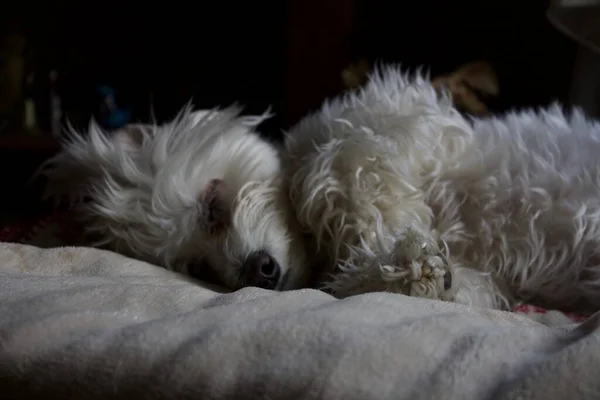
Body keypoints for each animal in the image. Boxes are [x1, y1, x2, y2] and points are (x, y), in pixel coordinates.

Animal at [44, 65, 600, 310]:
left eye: (213, 204)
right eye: (196, 267)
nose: (258, 272)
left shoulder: (400, 113)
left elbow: (332, 165)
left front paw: (379, 235)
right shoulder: (491, 279)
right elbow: (463, 285)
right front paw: (413, 270)